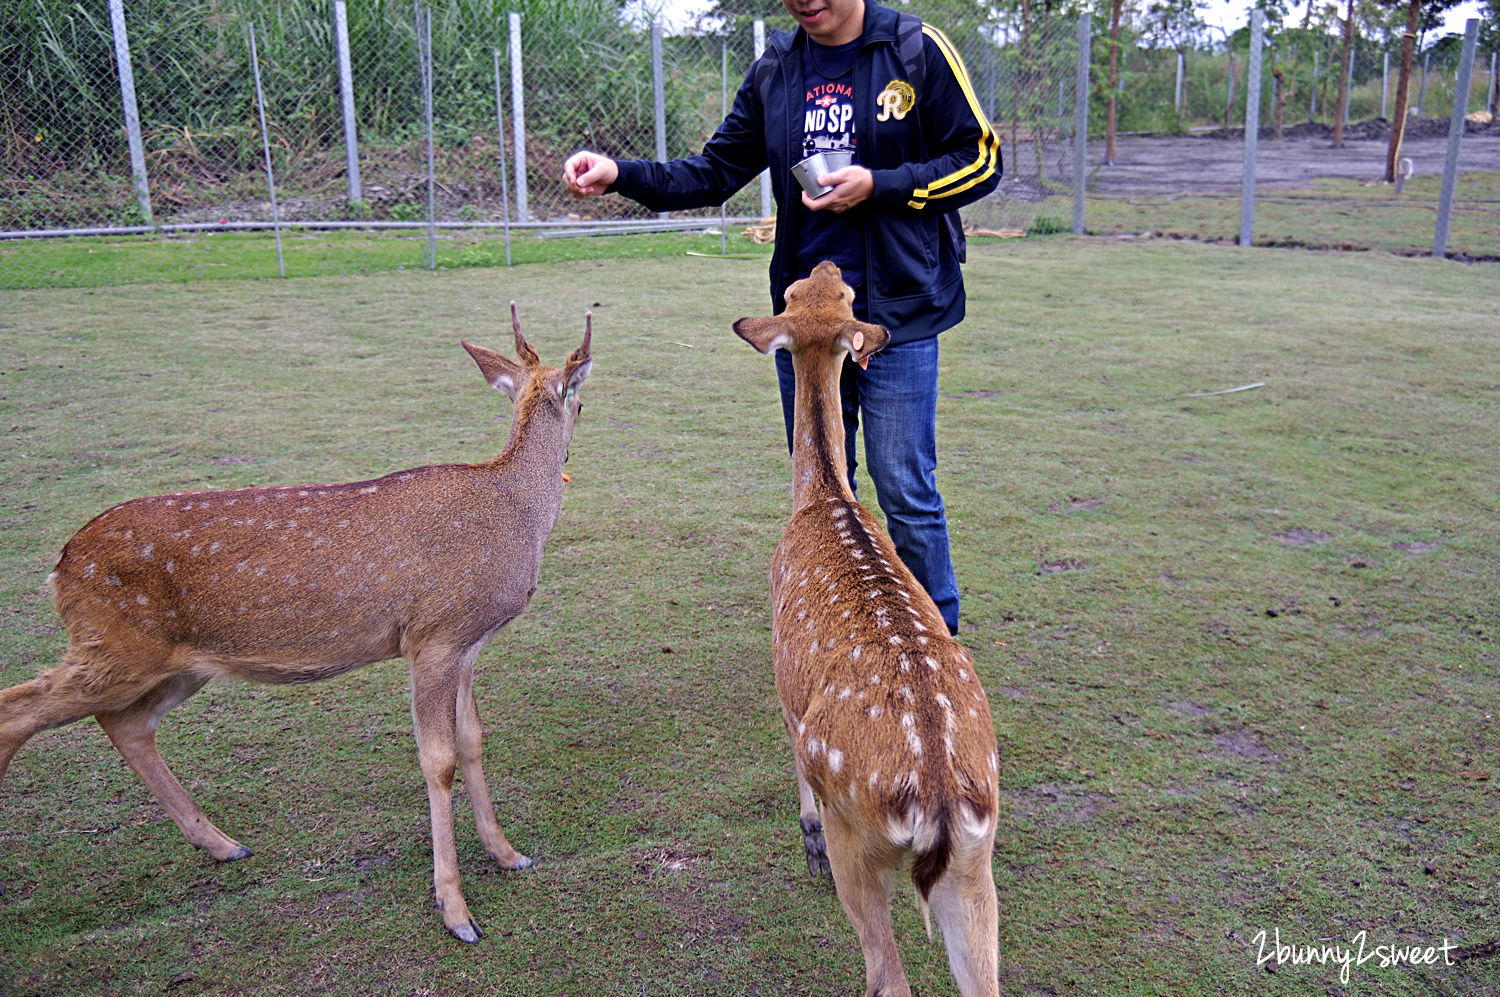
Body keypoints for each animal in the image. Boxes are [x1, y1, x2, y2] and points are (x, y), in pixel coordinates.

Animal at [0, 308, 594, 941]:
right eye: (581, 403)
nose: (577, 434)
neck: (515, 515)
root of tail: (60, 567)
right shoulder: (434, 634)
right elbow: (439, 761)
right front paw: (455, 910)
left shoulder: (466, 642)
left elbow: (475, 740)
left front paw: (508, 854)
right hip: (114, 645)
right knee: (21, 711)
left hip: (177, 662)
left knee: (125, 723)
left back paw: (224, 845)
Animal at [735, 257, 1002, 995]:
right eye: (826, 291)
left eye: (794, 291)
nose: (829, 261)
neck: (821, 495)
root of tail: (939, 804)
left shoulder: (785, 682)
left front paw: (803, 835)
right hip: (975, 866)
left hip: (859, 835)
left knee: (885, 973)